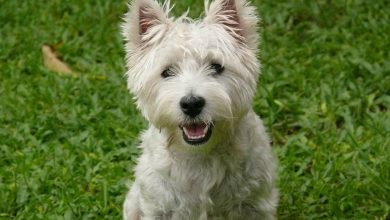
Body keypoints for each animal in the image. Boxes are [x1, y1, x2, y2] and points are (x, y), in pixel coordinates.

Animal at [122, 0, 278, 217]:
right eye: (167, 72)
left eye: (216, 66)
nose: (191, 103)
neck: (200, 155)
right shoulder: (158, 206)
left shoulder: (256, 204)